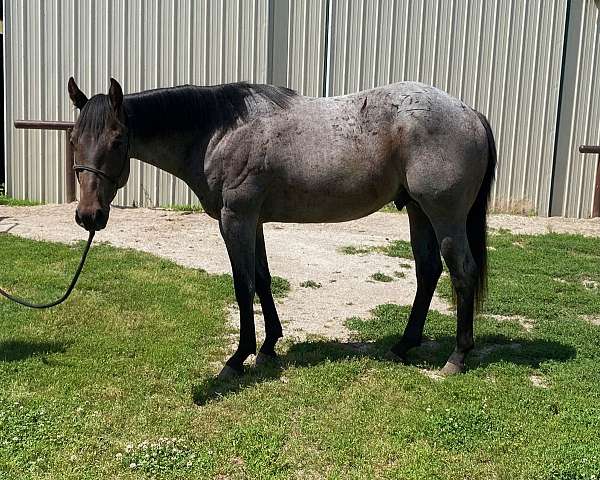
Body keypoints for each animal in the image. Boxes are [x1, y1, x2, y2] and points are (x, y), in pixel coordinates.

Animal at [67, 78, 496, 378]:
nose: (89, 216)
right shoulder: (251, 221)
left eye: (117, 140)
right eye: (73, 139)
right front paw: (269, 346)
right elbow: (263, 279)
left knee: (462, 272)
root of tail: (470, 112)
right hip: (418, 212)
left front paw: (238, 358)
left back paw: (457, 357)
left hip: (444, 215)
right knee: (428, 272)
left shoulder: (235, 219)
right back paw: (404, 346)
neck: (219, 132)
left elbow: (242, 286)